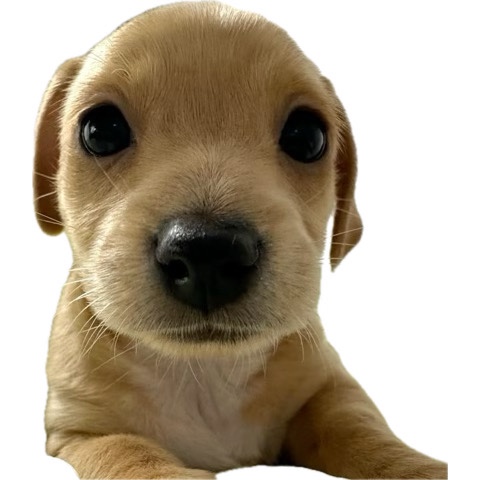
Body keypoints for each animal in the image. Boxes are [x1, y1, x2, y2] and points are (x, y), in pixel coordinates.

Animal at [33, 2, 447, 479]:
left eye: (308, 137)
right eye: (101, 130)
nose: (207, 254)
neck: (204, 369)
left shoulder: (330, 385)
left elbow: (360, 429)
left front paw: (416, 464)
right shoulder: (79, 429)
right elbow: (127, 450)